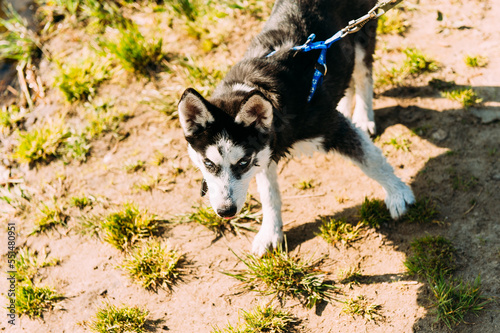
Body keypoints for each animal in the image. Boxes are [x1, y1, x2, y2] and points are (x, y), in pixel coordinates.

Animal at [176, 0, 414, 255]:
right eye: (208, 164)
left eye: (242, 162)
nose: (225, 211)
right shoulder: (265, 151)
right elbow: (269, 194)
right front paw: (270, 232)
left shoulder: (330, 126)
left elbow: (372, 162)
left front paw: (398, 192)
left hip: (361, 32)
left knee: (363, 75)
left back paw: (363, 115)